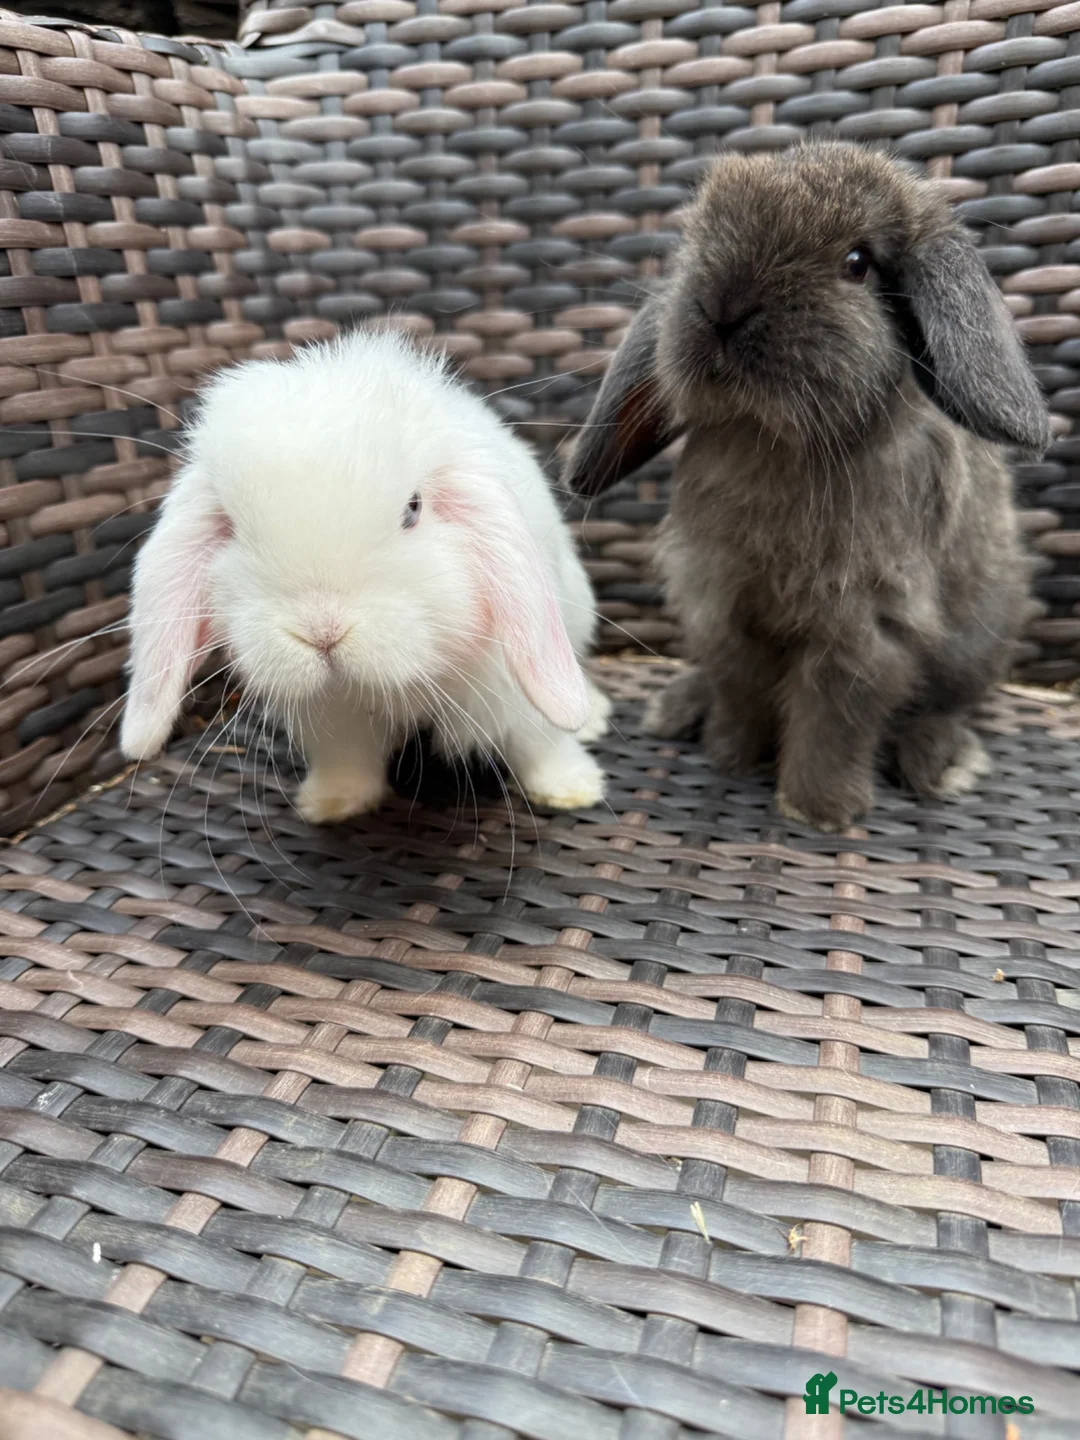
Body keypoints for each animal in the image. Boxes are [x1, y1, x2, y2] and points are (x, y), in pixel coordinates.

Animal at [119, 329, 612, 822]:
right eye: (230, 527)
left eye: (413, 508)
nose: (321, 631)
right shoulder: (334, 716)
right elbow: (348, 758)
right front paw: (332, 803)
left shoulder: (514, 689)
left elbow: (542, 744)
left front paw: (572, 789)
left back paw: (594, 716)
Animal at [562, 140, 1050, 833]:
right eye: (701, 237)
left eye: (857, 264)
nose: (724, 307)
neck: (775, 441)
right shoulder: (720, 603)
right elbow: (741, 688)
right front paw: (730, 756)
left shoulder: (863, 624)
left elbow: (834, 715)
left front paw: (817, 810)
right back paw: (679, 707)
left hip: (976, 646)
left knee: (944, 705)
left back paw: (943, 762)